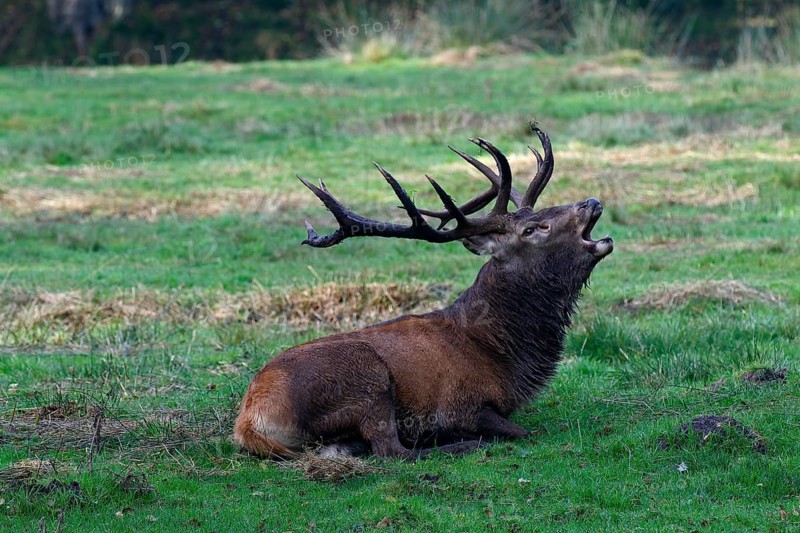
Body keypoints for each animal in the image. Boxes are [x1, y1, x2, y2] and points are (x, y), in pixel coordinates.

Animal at [234, 126, 613, 459]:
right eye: (532, 229)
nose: (590, 201)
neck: (500, 352)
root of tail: (249, 423)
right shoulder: (461, 405)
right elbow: (523, 431)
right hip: (366, 375)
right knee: (391, 450)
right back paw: (462, 445)